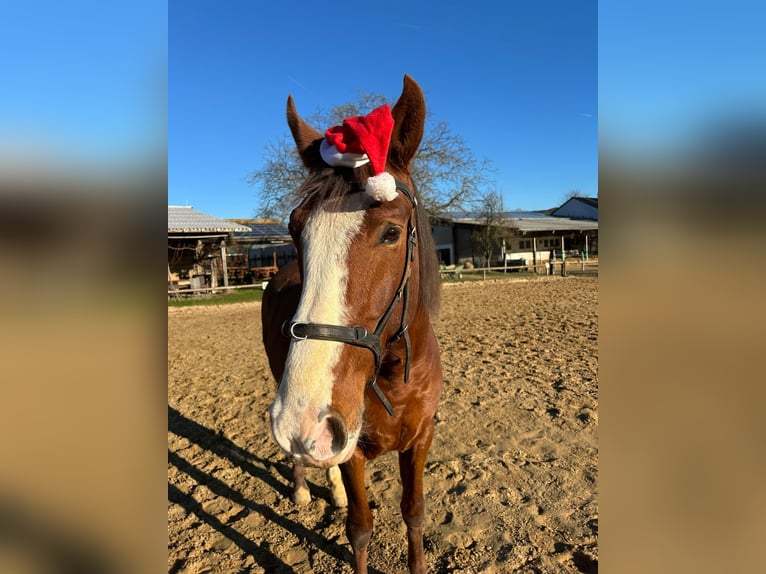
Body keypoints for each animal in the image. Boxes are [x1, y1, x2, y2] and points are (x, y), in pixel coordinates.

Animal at [262, 74, 444, 572]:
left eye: (392, 232)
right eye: (294, 228)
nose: (305, 420)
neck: (394, 375)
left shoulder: (421, 439)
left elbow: (414, 514)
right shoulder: (352, 451)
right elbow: (360, 529)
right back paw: (303, 489)